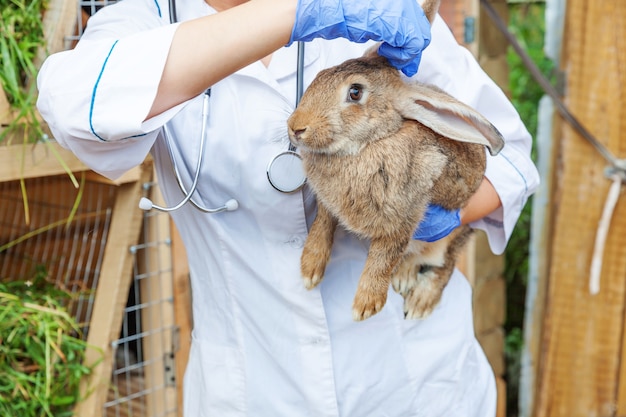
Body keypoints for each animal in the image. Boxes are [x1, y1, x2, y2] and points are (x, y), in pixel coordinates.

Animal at [286, 15, 502, 322]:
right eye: (320, 75)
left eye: (355, 92)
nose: (296, 127)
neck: (368, 144)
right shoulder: (330, 205)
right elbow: (322, 224)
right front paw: (310, 267)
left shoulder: (405, 214)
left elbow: (385, 256)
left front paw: (366, 305)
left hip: (453, 233)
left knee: (443, 263)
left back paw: (419, 300)